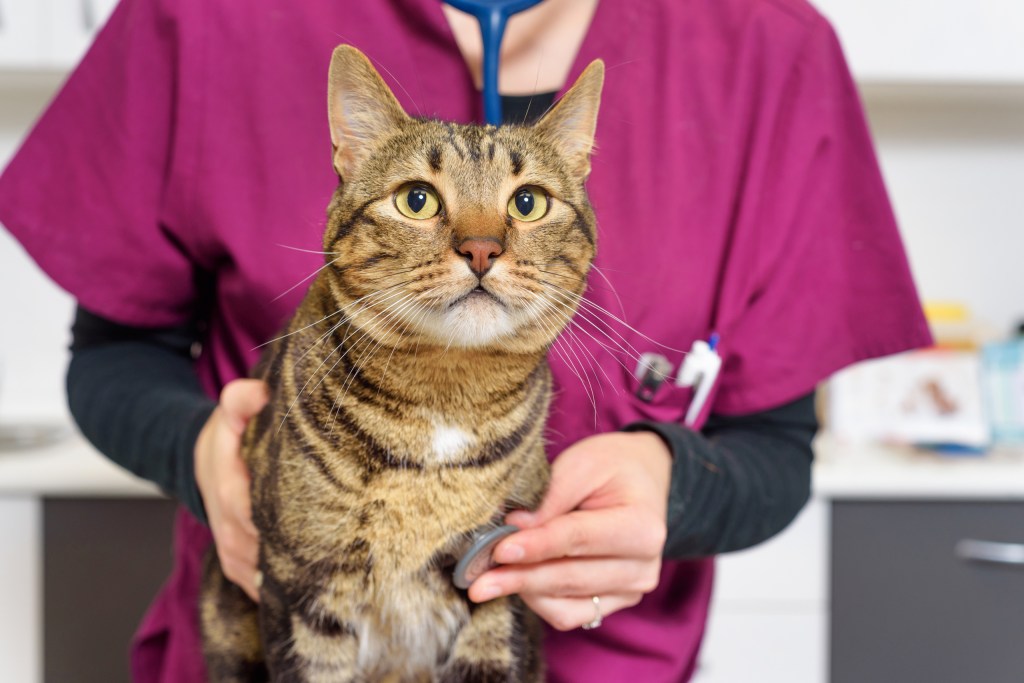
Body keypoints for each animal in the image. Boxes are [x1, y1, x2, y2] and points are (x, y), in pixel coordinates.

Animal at [197, 45, 598, 679]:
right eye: (417, 199)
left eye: (528, 202)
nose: (481, 248)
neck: (445, 396)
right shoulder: (299, 590)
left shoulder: (498, 592)